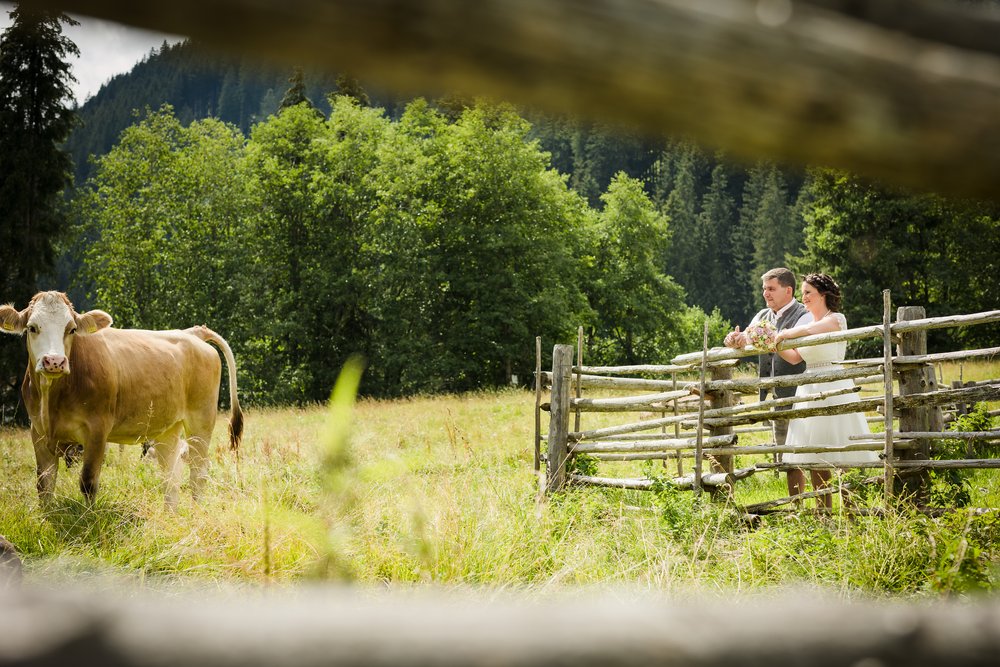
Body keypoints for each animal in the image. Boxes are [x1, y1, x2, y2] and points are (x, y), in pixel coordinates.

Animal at [0, 290, 242, 506]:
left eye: (72, 329)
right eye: (32, 328)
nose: (54, 362)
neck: (54, 400)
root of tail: (192, 332)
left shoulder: (97, 432)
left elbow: (88, 483)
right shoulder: (39, 433)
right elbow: (44, 486)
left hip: (201, 420)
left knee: (198, 471)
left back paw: (196, 510)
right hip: (168, 428)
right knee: (170, 474)